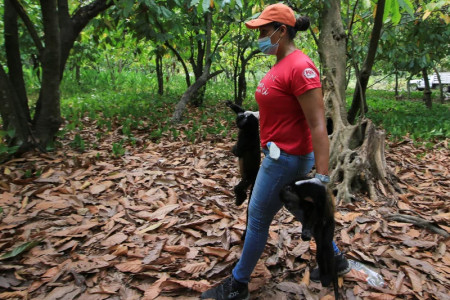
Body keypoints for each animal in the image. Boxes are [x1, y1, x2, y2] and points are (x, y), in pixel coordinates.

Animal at [225, 102, 260, 240]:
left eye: (241, 118)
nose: (240, 116)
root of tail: (256, 176)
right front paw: (232, 104)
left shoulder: (245, 139)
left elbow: (237, 152)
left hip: (248, 178)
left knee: (239, 188)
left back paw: (240, 198)